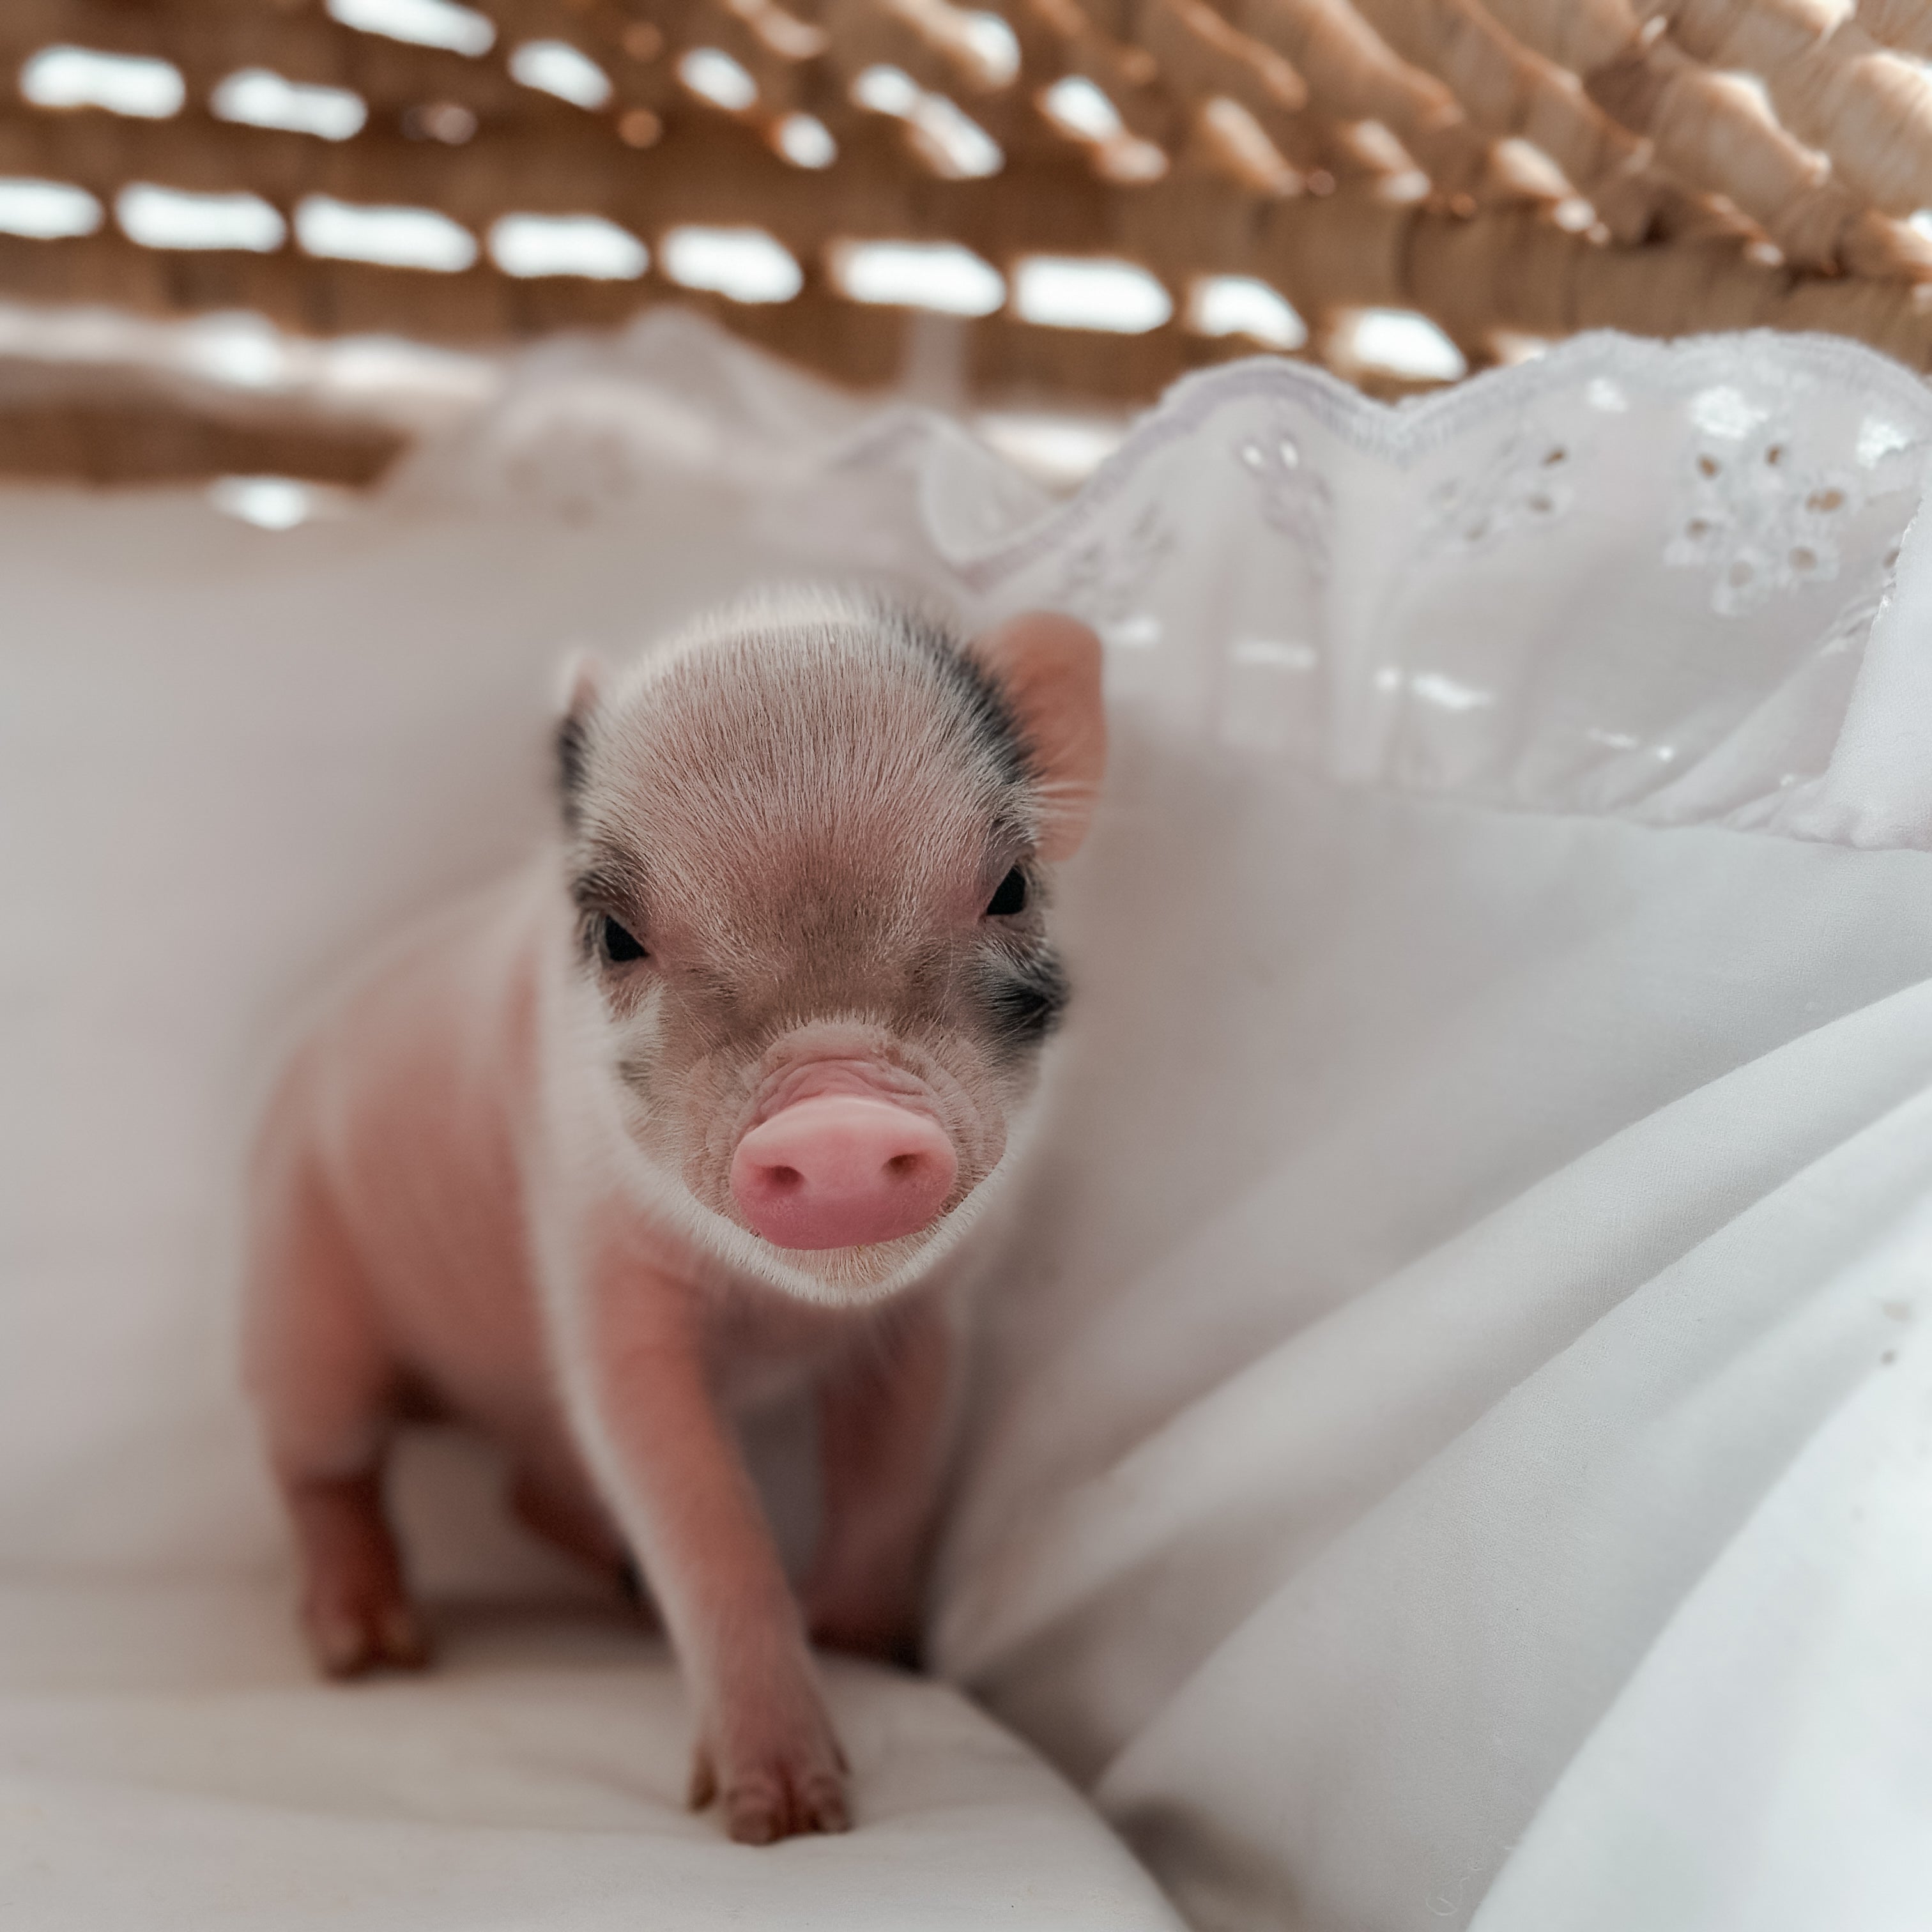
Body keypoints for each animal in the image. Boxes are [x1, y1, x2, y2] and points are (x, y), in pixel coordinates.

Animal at [242, 587, 1105, 1844]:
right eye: (616, 938)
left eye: (1012, 886)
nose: (834, 1122)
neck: (780, 1316)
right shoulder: (600, 1282)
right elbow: (699, 1513)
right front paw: (784, 1822)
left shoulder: (930, 1318)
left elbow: (893, 1475)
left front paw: (865, 1651)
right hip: (299, 1295)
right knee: (320, 1466)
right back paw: (375, 1650)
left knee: (525, 1487)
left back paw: (609, 1585)